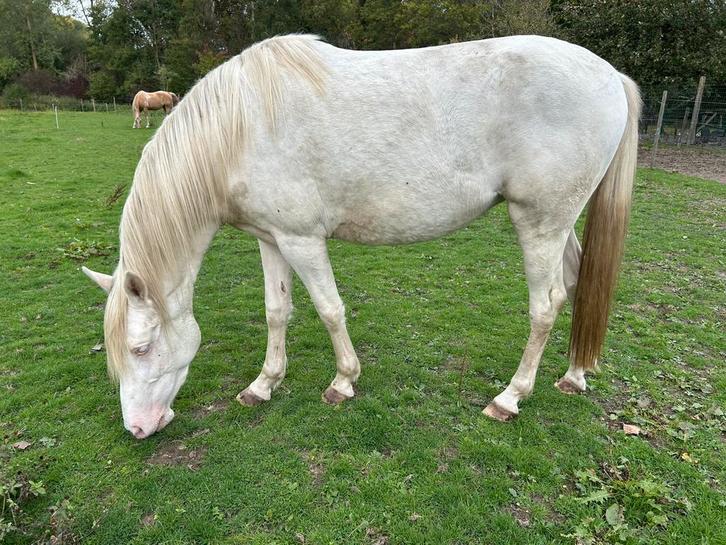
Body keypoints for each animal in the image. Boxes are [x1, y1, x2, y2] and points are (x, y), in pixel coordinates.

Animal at [82, 34, 640, 439]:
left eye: (139, 349)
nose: (137, 428)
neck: (240, 129)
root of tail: (610, 75)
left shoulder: (303, 240)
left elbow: (329, 309)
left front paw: (343, 382)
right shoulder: (272, 239)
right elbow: (276, 311)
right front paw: (263, 385)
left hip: (540, 224)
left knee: (546, 305)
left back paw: (509, 398)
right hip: (558, 224)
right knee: (578, 282)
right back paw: (574, 375)